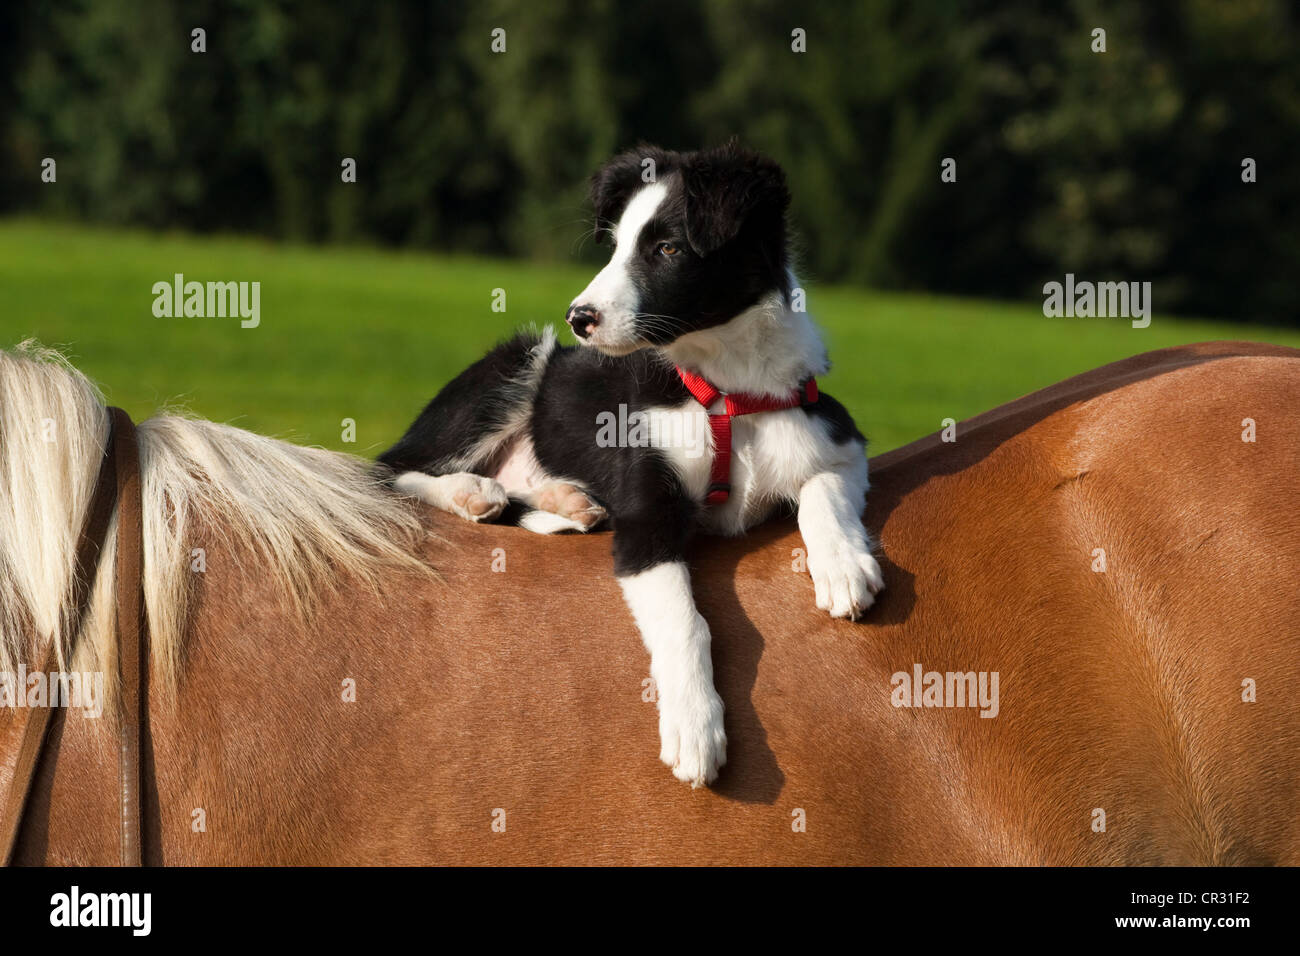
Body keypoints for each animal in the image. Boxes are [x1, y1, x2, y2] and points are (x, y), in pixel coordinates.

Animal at [377, 140, 883, 785]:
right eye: (615, 245)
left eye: (668, 248)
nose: (579, 317)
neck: (726, 388)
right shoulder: (648, 513)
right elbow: (684, 620)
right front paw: (694, 727)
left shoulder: (838, 436)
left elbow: (823, 492)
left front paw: (843, 568)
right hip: (516, 362)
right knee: (395, 465)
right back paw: (474, 491)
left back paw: (567, 502)